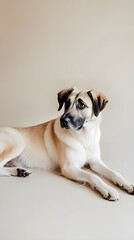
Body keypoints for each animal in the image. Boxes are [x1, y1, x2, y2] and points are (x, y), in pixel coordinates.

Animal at [0, 86, 133, 201]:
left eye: (81, 105)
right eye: (67, 103)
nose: (63, 121)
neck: (84, 137)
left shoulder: (95, 162)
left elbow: (114, 172)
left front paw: (127, 184)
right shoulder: (69, 168)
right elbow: (93, 176)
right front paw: (108, 189)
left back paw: (19, 171)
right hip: (18, 143)